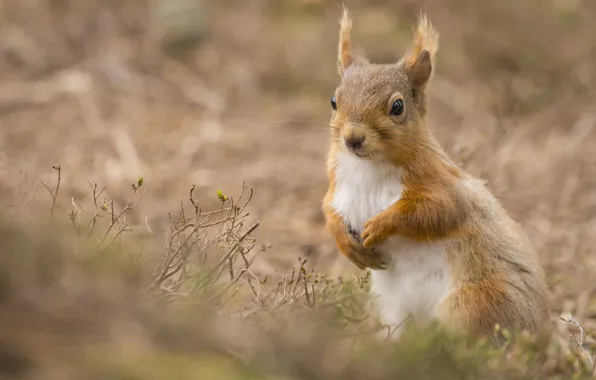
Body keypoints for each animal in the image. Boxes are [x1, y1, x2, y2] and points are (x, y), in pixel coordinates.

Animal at [322, 10, 548, 340]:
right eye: (333, 101)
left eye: (397, 106)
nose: (353, 139)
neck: (369, 168)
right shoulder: (338, 188)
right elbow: (329, 212)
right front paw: (347, 245)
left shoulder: (442, 185)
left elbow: (437, 211)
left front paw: (380, 225)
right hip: (393, 309)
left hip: (473, 303)